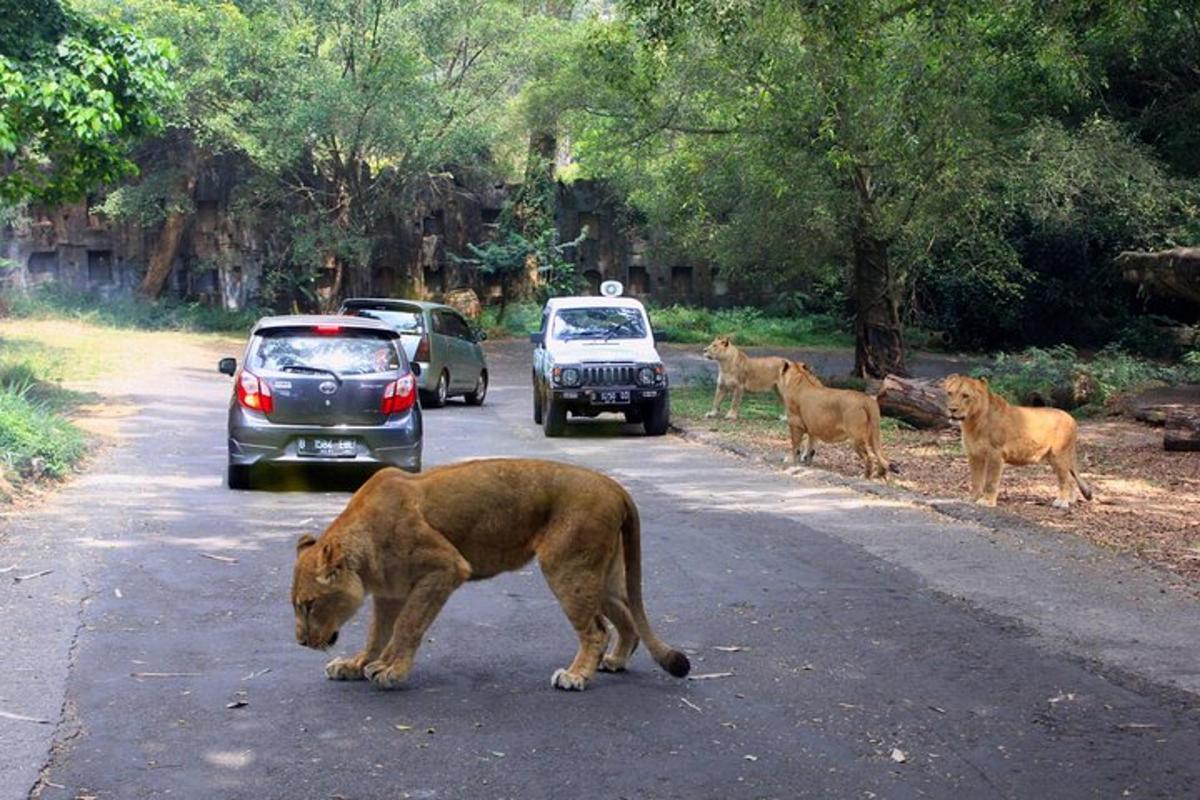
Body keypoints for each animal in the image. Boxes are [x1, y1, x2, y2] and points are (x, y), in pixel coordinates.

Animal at [288, 460, 696, 690]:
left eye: (308, 605)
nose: (302, 643)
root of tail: (614, 485)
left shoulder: (446, 567)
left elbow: (408, 626)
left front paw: (391, 670)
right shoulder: (390, 592)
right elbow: (377, 633)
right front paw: (358, 665)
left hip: (567, 568)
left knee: (596, 630)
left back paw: (577, 675)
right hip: (600, 574)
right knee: (626, 617)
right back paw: (614, 661)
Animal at [945, 374, 1099, 510]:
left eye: (965, 395)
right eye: (950, 393)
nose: (951, 409)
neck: (972, 423)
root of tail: (1071, 418)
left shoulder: (995, 454)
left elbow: (990, 481)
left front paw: (987, 502)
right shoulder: (974, 455)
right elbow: (976, 480)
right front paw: (972, 499)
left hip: (1058, 456)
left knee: (1065, 479)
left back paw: (1062, 502)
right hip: (1054, 457)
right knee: (1070, 479)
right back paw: (1070, 500)